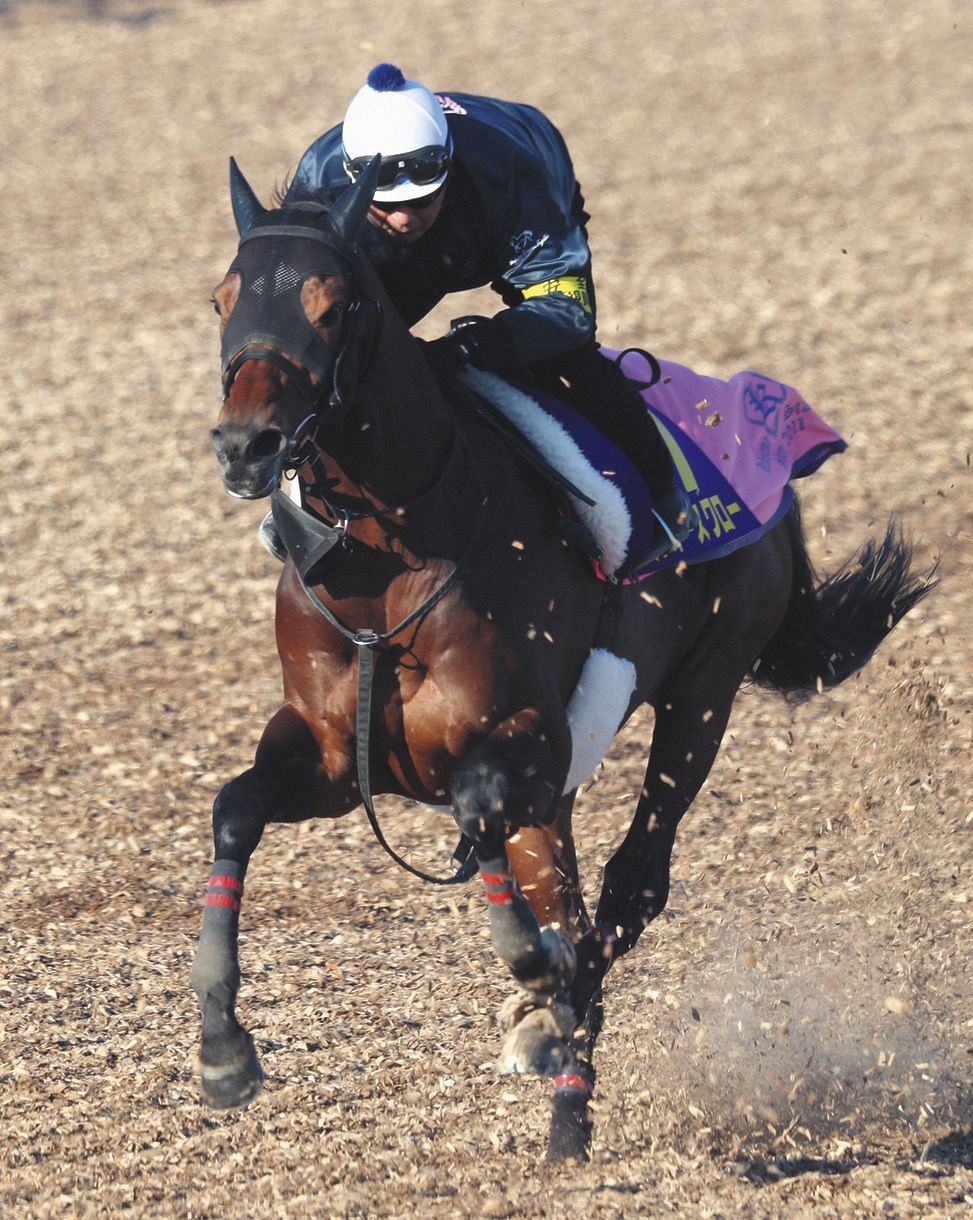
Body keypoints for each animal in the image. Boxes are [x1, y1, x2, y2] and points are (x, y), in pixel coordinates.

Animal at [190, 155, 935, 1162]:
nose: (247, 445)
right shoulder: (334, 756)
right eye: (221, 297)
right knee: (579, 905)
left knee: (626, 892)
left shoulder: (525, 737)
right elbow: (235, 812)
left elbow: (481, 811)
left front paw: (533, 986)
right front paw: (224, 1052)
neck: (386, 568)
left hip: (703, 696)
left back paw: (564, 1078)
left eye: (336, 303)